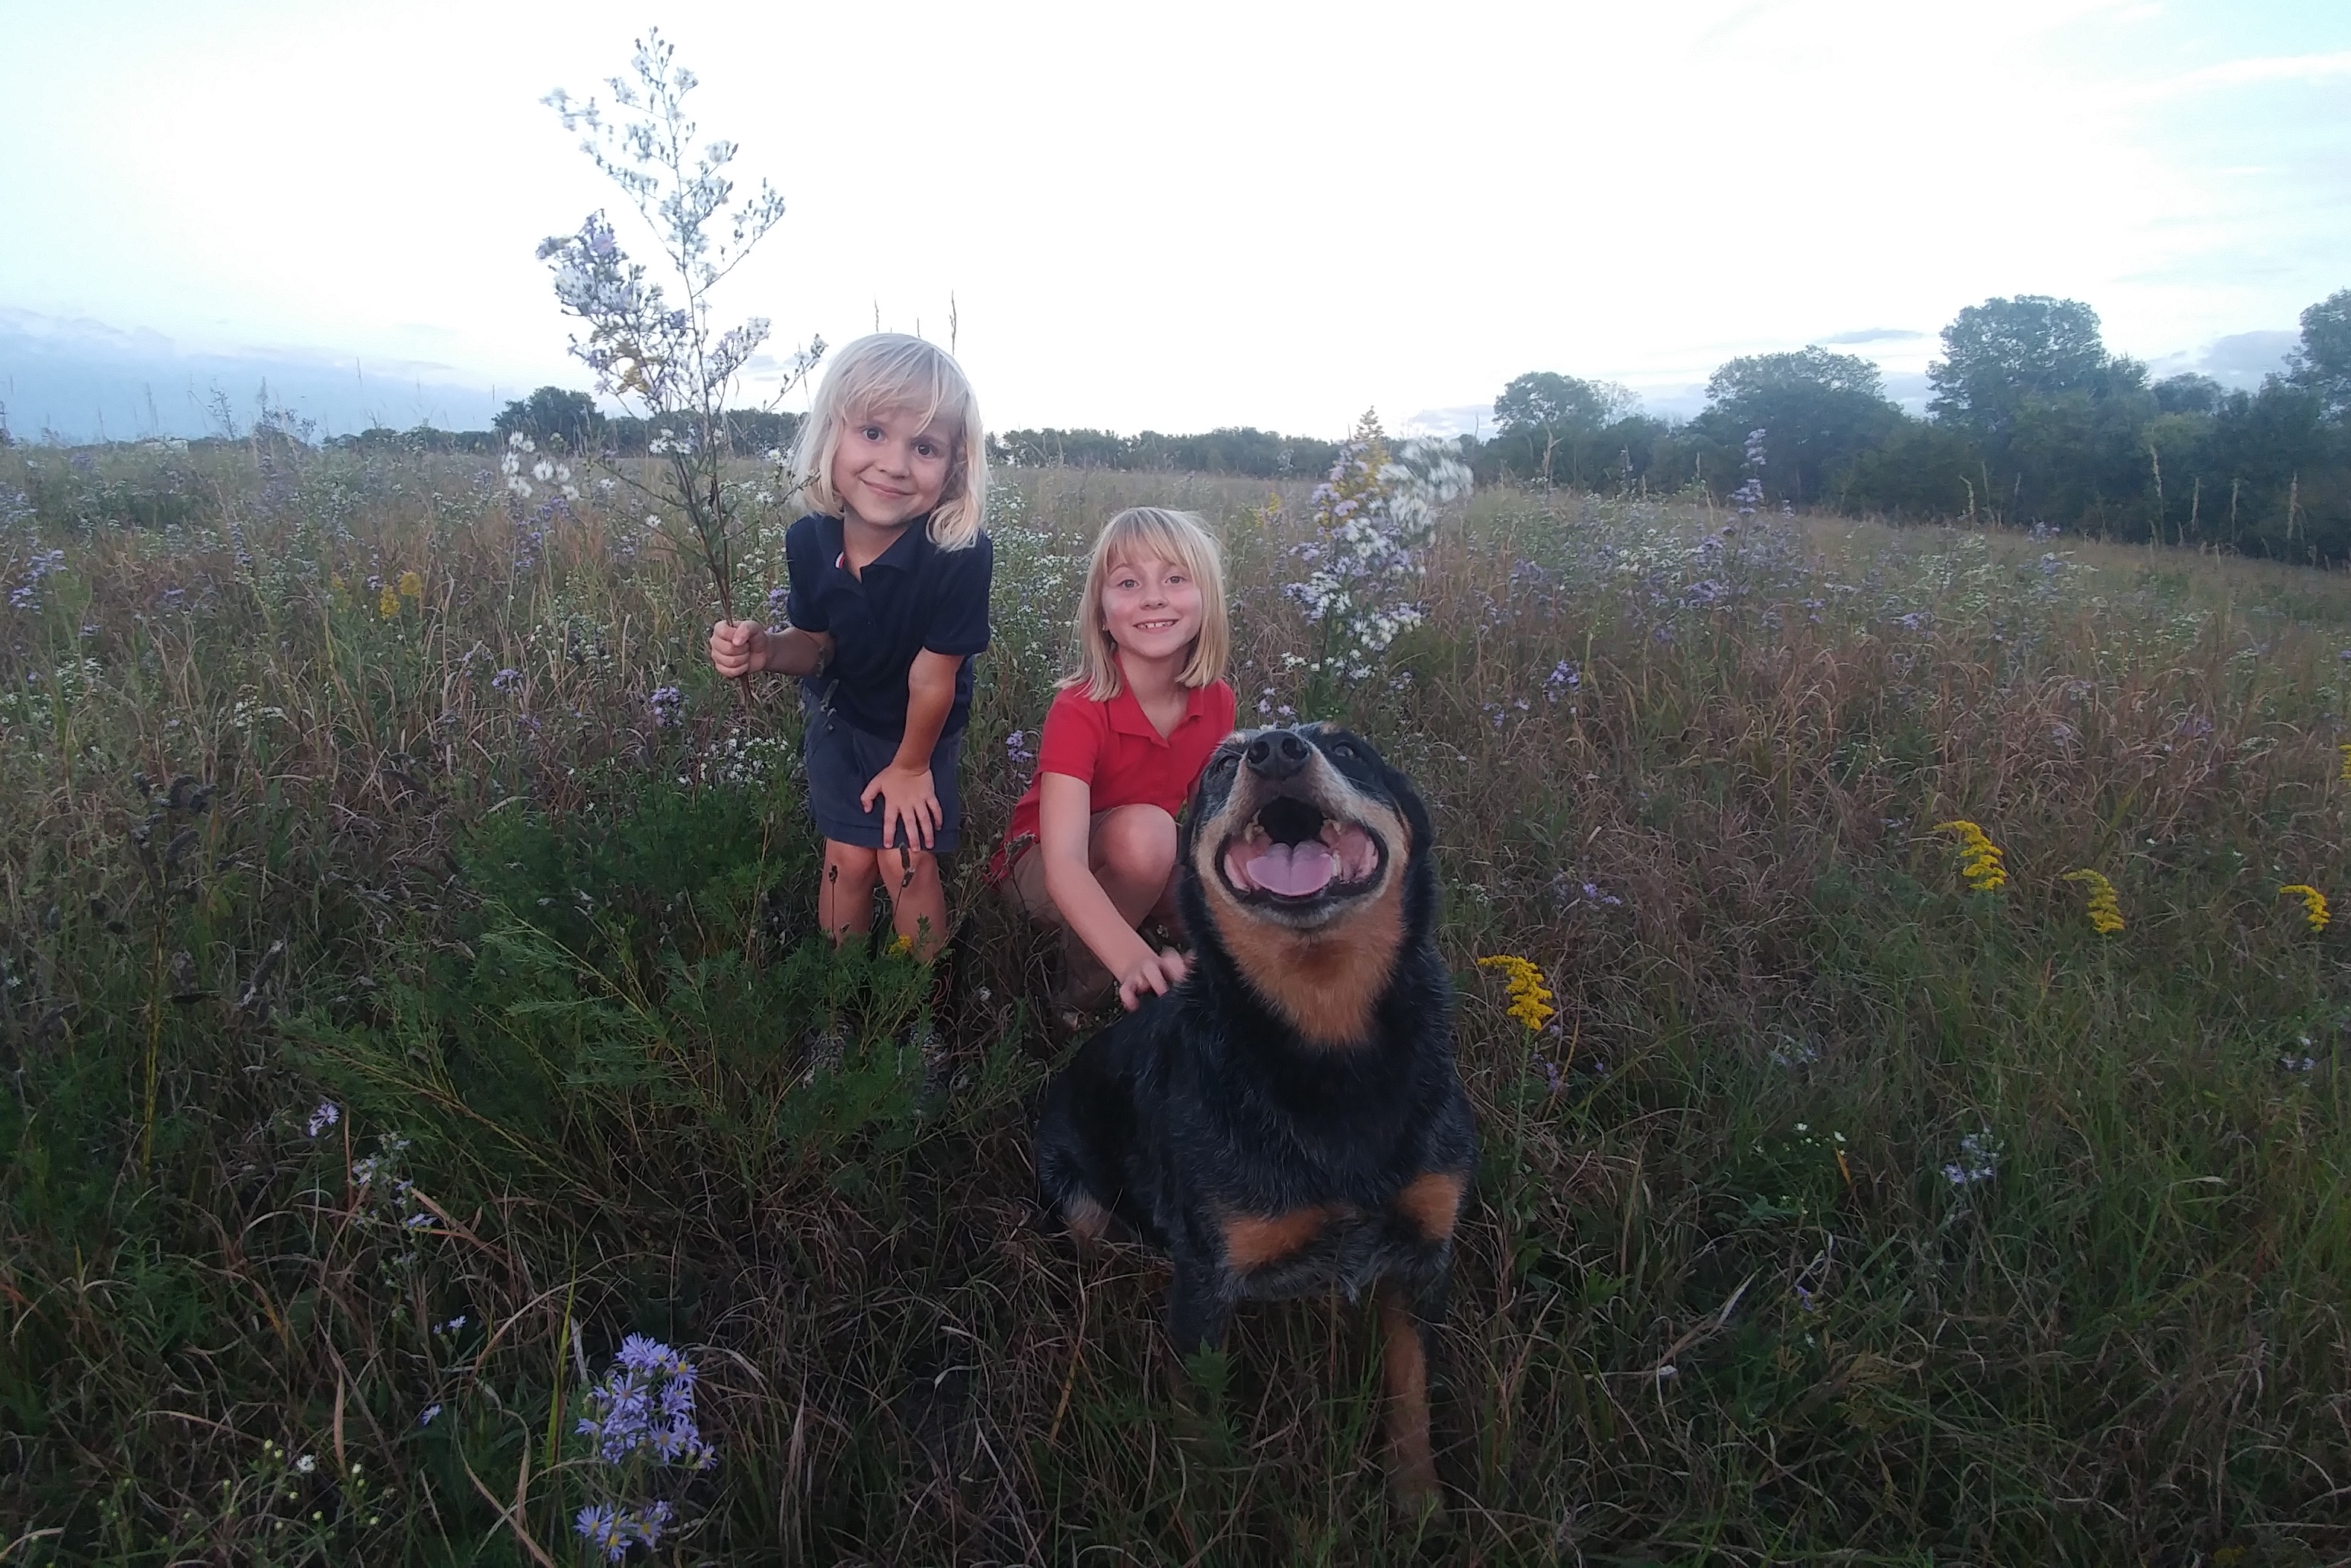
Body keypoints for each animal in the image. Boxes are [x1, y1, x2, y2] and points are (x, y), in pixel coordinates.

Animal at [1034, 724, 1466, 1504]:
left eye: (1349, 749)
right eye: (1226, 764)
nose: (1277, 749)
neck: (1326, 1041)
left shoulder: (1423, 1256)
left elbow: (1412, 1399)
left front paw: (1423, 1507)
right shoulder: (1207, 1283)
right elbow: (1201, 1431)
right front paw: (1208, 1509)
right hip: (1075, 1197)